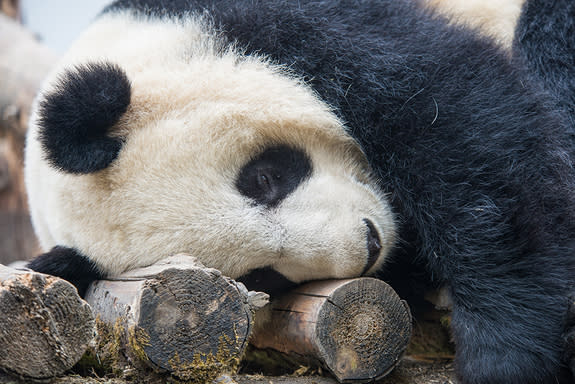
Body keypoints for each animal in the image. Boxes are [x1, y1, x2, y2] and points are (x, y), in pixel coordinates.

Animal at [24, 0, 575, 384]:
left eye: (264, 178)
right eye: (260, 275)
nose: (367, 246)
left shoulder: (303, 30)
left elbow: (461, 132)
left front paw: (503, 353)